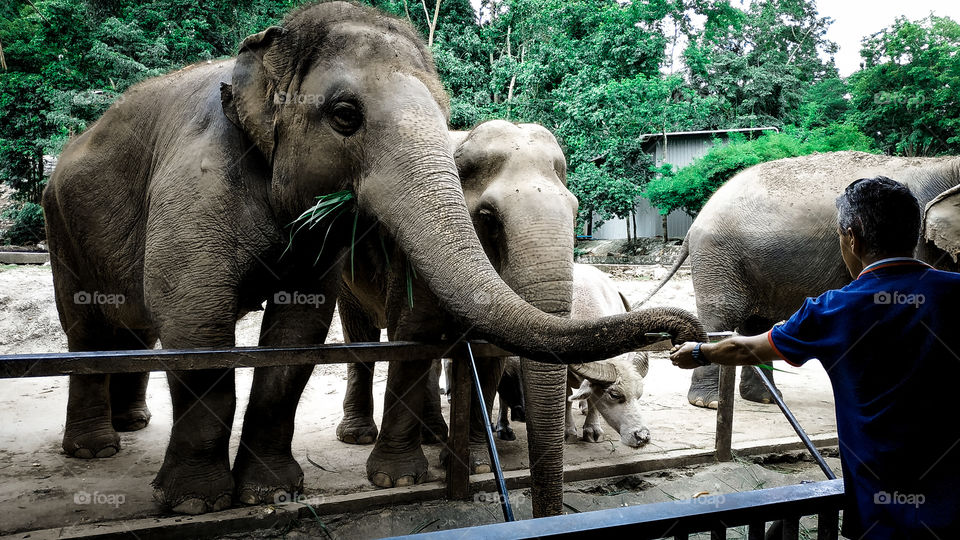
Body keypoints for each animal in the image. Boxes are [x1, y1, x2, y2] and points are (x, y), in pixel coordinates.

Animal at [42, 2, 703, 517]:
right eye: (344, 115)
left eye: (575, 209)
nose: (686, 331)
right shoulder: (198, 180)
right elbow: (198, 320)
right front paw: (198, 502)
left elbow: (301, 335)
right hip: (59, 225)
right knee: (88, 329)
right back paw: (98, 449)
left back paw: (130, 427)